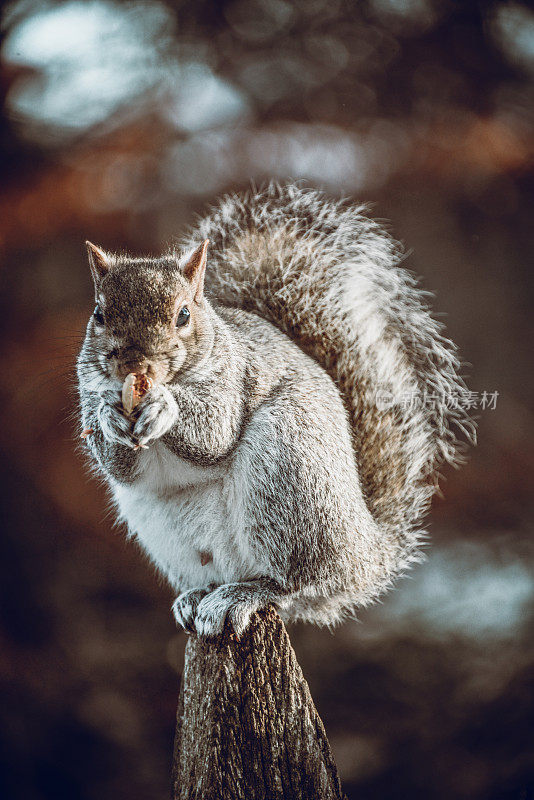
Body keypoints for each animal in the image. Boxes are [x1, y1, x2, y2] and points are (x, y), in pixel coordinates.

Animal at [77, 181, 476, 636]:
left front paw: (164, 407)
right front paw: (109, 416)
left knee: (297, 584)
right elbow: (119, 465)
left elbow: (214, 431)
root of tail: (368, 554)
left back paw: (244, 595)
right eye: (99, 314)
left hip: (288, 475)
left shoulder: (234, 377)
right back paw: (198, 596)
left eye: (183, 315)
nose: (135, 366)